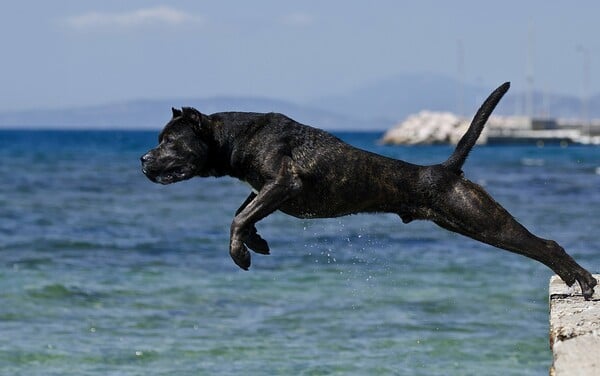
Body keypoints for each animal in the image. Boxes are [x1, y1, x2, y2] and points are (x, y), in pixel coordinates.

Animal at [139, 82, 596, 300]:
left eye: (169, 141)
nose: (143, 158)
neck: (235, 136)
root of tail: (443, 170)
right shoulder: (266, 188)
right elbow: (244, 210)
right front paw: (256, 241)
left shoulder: (284, 183)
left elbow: (238, 217)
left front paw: (240, 251)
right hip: (468, 221)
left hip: (483, 219)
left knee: (545, 244)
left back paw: (580, 278)